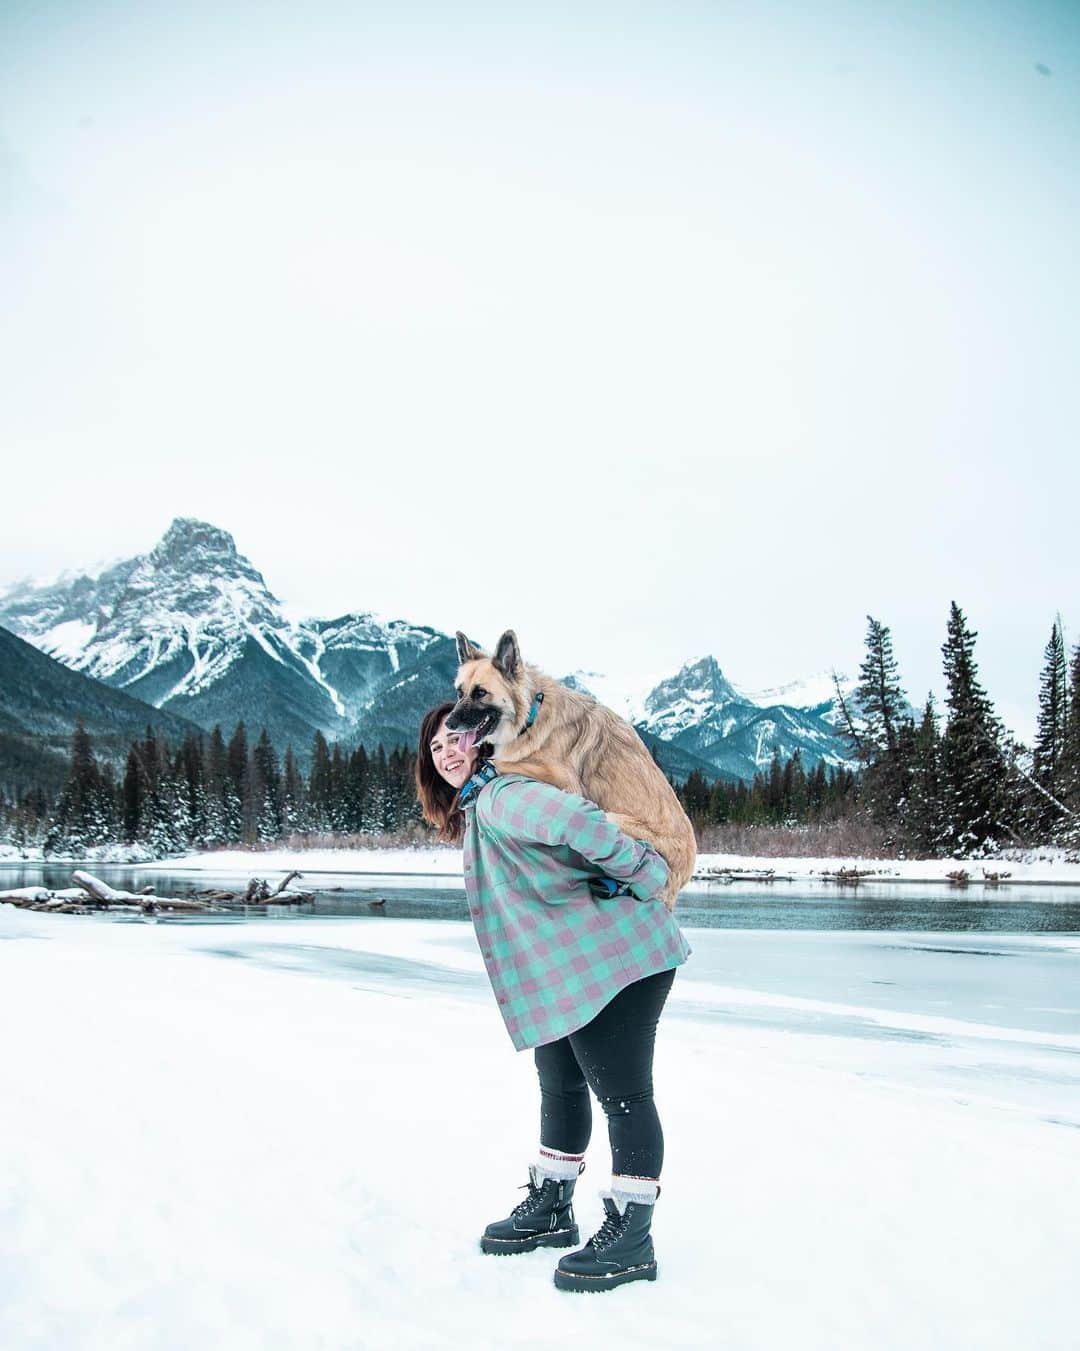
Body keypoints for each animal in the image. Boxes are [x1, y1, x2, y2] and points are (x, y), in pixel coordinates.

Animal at [443, 629, 697, 907]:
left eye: (480, 693)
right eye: (459, 692)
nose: (449, 724)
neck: (532, 716)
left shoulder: (566, 781)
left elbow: (508, 762)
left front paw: (480, 776)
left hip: (612, 817)